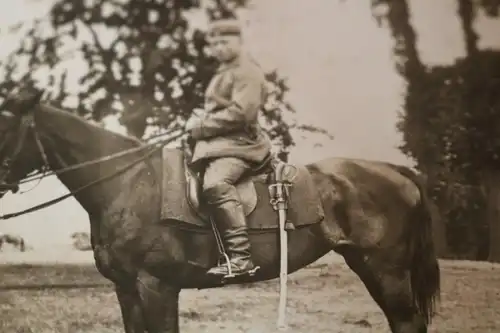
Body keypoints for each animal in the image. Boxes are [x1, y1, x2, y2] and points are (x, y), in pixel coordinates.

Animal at [0, 91, 438, 332]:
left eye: (4, 125)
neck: (127, 182)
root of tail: (396, 171)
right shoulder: (126, 290)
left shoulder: (156, 287)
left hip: (386, 271)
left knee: (408, 322)